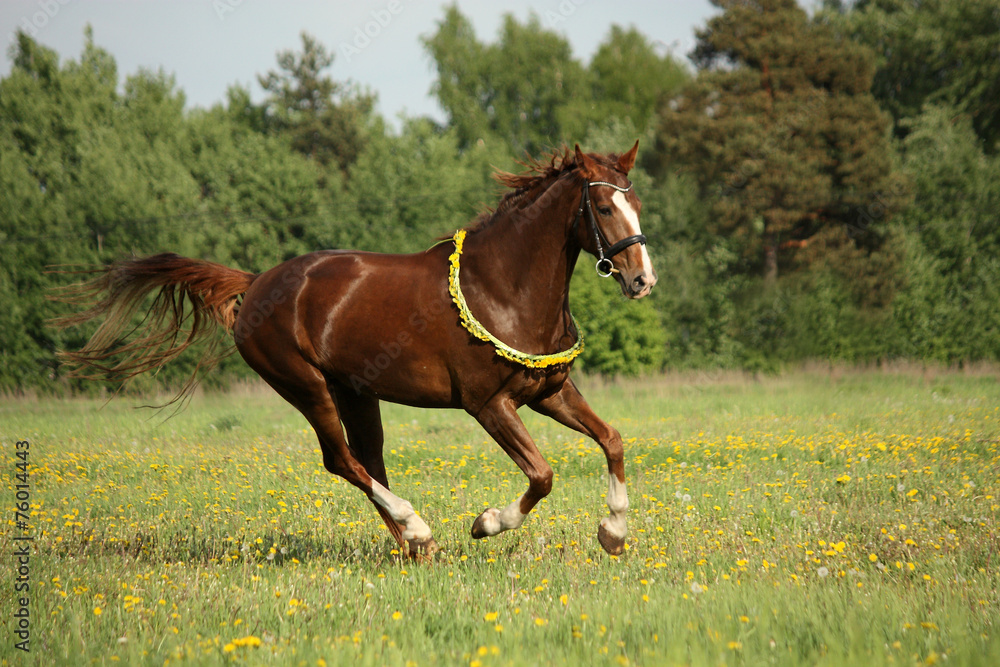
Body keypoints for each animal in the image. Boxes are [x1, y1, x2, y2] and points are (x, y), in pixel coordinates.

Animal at [56, 143, 657, 558]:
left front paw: (613, 532)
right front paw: (485, 523)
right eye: (603, 208)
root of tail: (257, 283)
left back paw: (415, 546)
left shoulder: (549, 391)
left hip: (356, 393)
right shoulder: (489, 405)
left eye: (636, 202)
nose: (642, 280)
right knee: (341, 459)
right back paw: (418, 530)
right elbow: (542, 475)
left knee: (369, 461)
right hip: (306, 387)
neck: (502, 287)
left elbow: (612, 440)